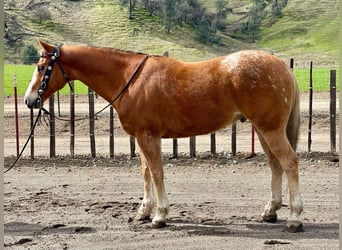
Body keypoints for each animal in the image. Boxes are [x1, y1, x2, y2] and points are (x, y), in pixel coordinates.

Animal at [23, 39, 302, 232]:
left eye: (41, 67)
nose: (29, 100)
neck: (129, 78)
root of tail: (281, 66)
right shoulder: (141, 136)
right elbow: (146, 172)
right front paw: (144, 211)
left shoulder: (148, 136)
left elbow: (157, 172)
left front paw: (160, 215)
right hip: (264, 130)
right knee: (275, 165)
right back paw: (270, 211)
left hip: (270, 129)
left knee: (289, 163)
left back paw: (295, 217)